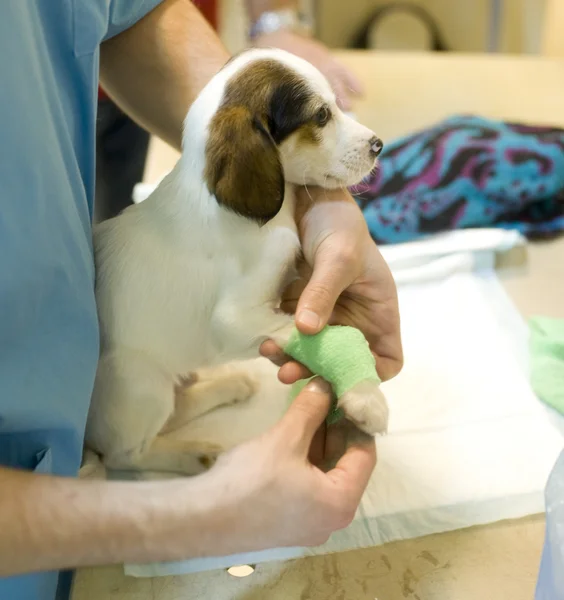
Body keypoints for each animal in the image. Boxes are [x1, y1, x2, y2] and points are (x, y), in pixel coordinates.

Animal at [87, 49, 388, 476]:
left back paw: (226, 387)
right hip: (141, 383)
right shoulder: (234, 319)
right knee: (127, 453)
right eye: (321, 116)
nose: (379, 145)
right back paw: (193, 453)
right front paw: (366, 396)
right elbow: (325, 332)